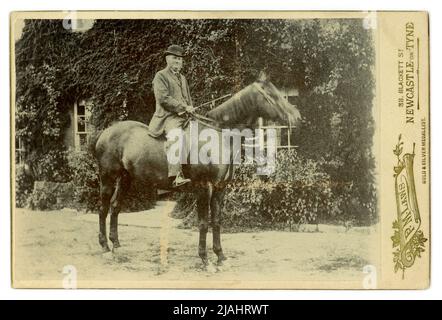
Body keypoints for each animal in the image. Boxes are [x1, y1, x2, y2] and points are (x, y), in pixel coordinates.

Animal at [93, 74, 300, 266]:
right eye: (272, 94)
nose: (297, 117)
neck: (217, 136)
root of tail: (106, 132)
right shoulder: (203, 187)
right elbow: (203, 222)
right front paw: (205, 259)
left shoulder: (220, 188)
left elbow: (216, 221)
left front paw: (220, 256)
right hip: (107, 177)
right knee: (103, 208)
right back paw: (104, 247)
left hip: (126, 178)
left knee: (115, 207)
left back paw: (116, 245)